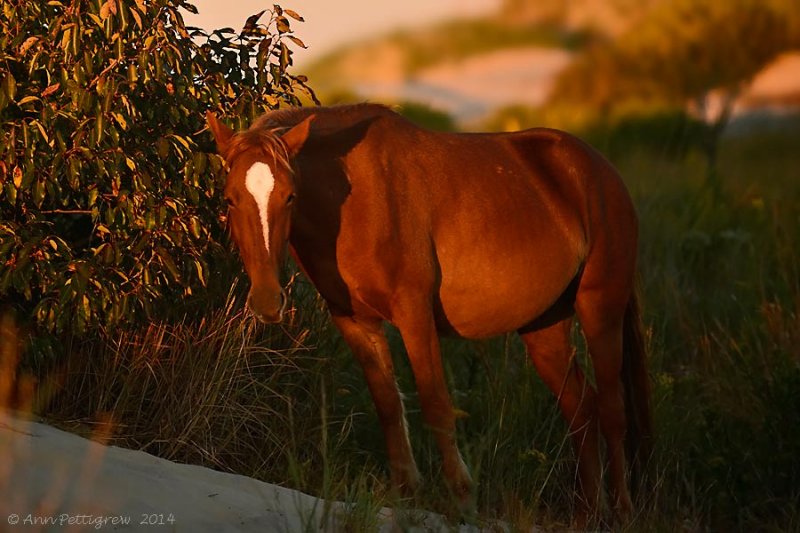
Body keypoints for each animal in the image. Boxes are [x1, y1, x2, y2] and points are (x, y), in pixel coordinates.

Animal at [206, 104, 648, 524]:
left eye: (289, 197)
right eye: (229, 198)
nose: (268, 302)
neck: (357, 201)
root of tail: (601, 171)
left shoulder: (414, 314)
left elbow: (436, 406)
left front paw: (462, 499)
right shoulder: (354, 320)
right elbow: (388, 404)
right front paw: (406, 493)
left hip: (600, 310)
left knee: (612, 409)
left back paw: (623, 511)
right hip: (545, 329)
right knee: (581, 408)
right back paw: (588, 512)